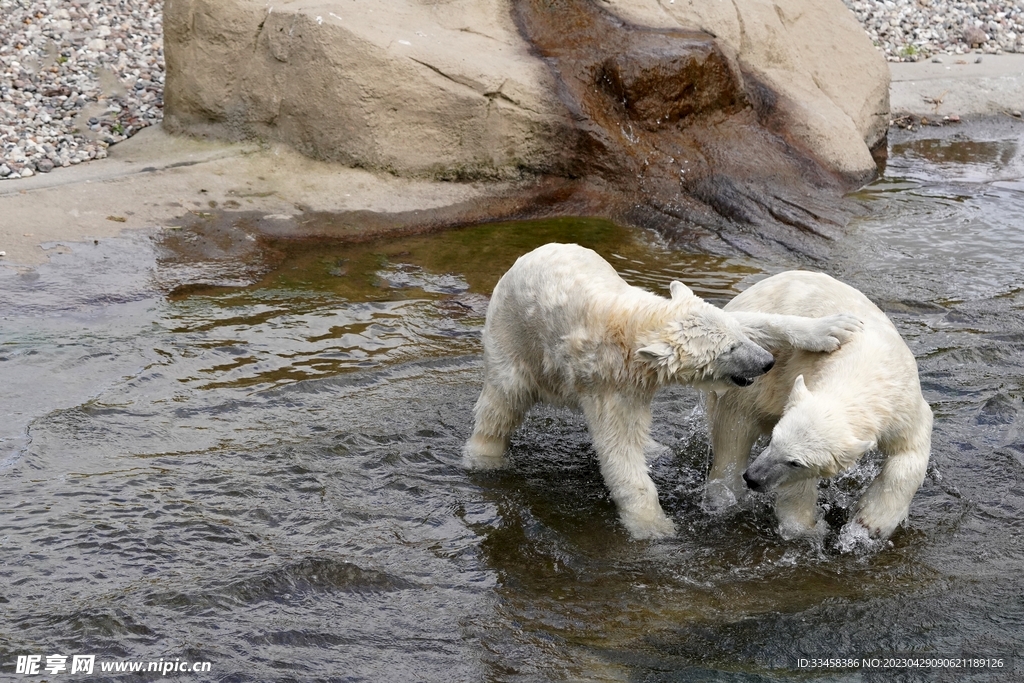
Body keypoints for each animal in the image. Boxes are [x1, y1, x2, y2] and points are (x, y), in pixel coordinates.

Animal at [463, 244, 863, 539]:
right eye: (728, 351)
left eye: (738, 340)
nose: (765, 362)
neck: (632, 324)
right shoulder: (611, 385)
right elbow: (619, 453)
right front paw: (656, 528)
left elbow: (755, 319)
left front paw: (834, 327)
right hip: (513, 339)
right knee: (502, 402)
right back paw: (482, 457)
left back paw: (656, 448)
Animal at [704, 270, 932, 542]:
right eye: (774, 441)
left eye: (796, 462)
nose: (753, 478)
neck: (863, 366)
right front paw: (806, 527)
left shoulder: (901, 402)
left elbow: (911, 448)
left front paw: (870, 522)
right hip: (747, 375)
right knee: (734, 432)